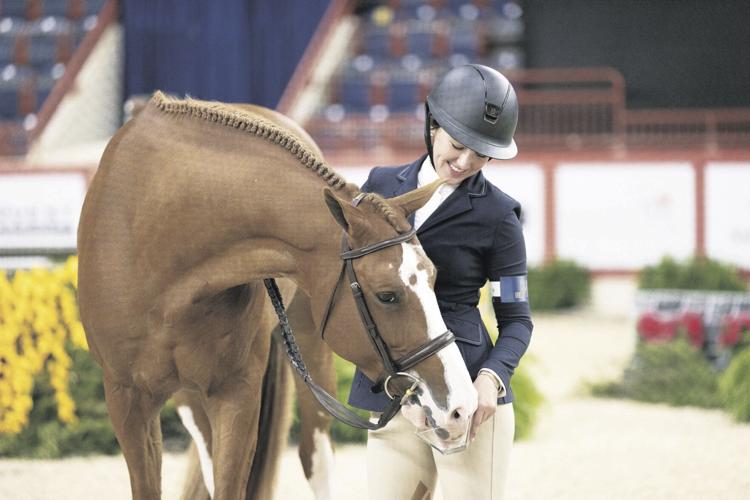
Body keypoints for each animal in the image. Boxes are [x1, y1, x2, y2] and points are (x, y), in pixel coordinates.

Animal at [77, 92, 477, 499]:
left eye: (433, 278)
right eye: (387, 296)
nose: (460, 407)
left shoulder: (236, 393)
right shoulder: (127, 400)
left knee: (315, 456)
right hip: (190, 397)